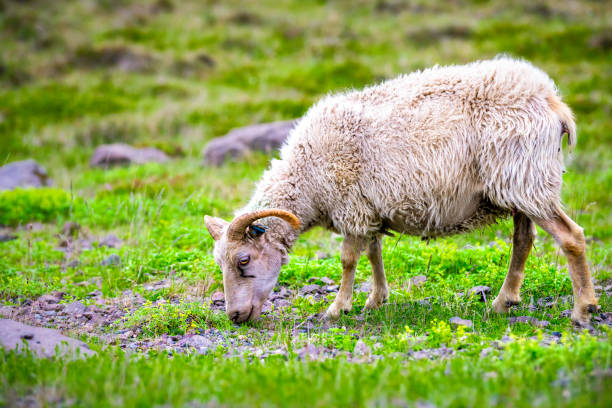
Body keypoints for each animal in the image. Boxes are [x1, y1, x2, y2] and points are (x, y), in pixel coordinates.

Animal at [204, 56, 596, 326]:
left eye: (243, 260)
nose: (234, 317)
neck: (307, 175)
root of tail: (553, 103)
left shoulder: (351, 206)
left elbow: (348, 260)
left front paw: (338, 307)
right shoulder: (369, 208)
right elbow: (373, 254)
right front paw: (376, 299)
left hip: (526, 179)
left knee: (571, 237)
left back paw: (582, 310)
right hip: (518, 186)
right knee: (523, 241)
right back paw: (503, 302)